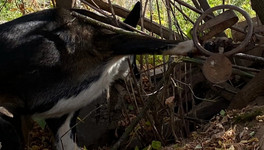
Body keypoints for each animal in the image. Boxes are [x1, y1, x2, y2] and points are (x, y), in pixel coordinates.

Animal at [0, 1, 194, 149]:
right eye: (133, 60)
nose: (138, 76)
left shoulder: (61, 122)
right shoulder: (110, 39)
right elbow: (158, 43)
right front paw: (193, 44)